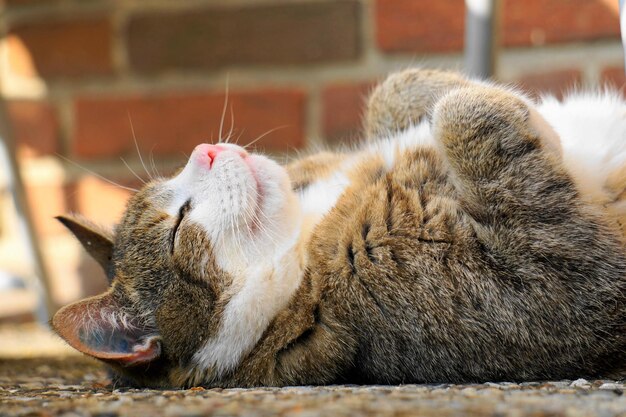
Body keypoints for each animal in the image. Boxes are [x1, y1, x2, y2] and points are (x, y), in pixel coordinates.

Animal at [51, 69, 620, 386]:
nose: (205, 150)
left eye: (174, 179)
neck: (307, 231)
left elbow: (392, 91)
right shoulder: (546, 281)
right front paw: (530, 118)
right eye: (178, 227)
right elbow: (459, 117)